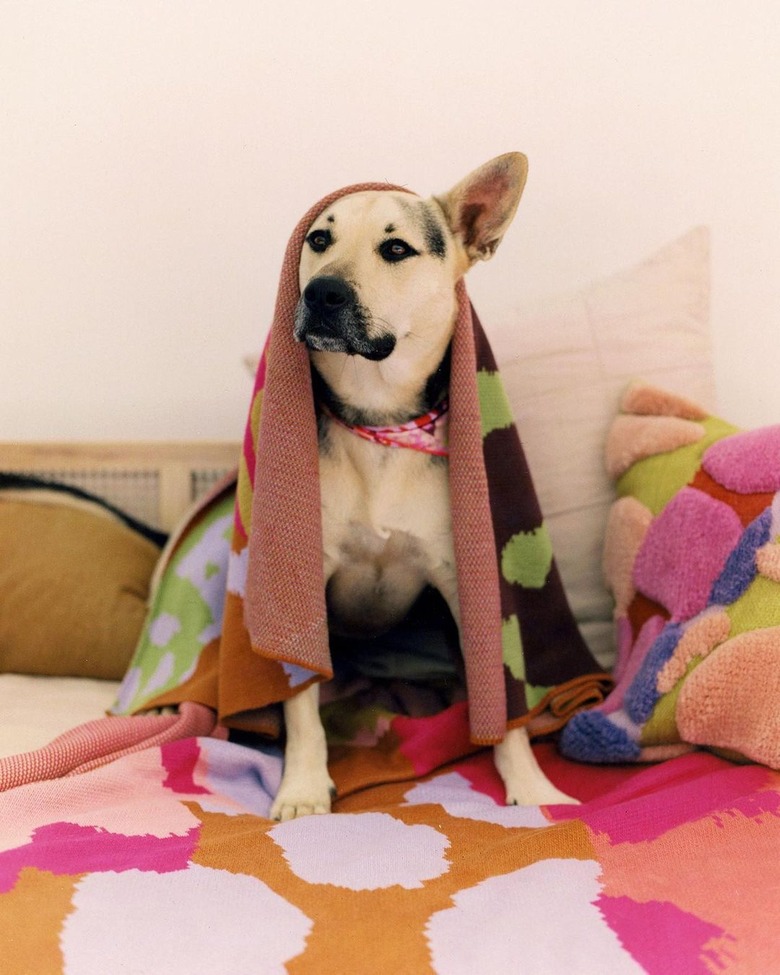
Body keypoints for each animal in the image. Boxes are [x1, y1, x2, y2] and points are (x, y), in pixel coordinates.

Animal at [272, 154, 576, 824]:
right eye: (319, 241)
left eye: (396, 248)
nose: (321, 292)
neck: (381, 420)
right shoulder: (301, 583)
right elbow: (300, 699)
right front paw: (302, 787)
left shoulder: (467, 581)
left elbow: (503, 698)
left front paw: (531, 785)